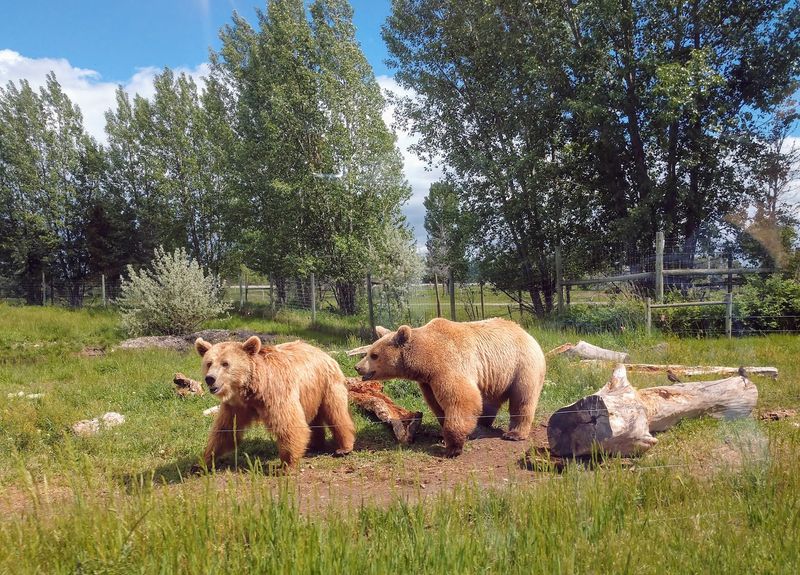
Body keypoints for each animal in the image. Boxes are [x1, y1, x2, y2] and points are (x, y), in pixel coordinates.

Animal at [195, 335, 355, 469]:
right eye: (209, 363)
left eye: (225, 364)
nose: (210, 379)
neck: (251, 390)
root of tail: (322, 352)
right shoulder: (236, 406)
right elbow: (225, 430)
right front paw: (203, 461)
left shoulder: (276, 394)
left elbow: (288, 425)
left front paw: (287, 464)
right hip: (309, 393)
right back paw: (315, 444)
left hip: (327, 385)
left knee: (335, 412)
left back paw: (344, 447)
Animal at [354, 317, 545, 457]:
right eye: (368, 352)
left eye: (374, 355)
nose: (357, 367)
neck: (425, 360)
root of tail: (527, 334)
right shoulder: (428, 381)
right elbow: (437, 404)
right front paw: (444, 434)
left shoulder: (448, 365)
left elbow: (460, 399)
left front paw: (453, 447)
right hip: (496, 374)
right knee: (489, 401)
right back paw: (480, 426)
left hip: (521, 366)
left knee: (522, 399)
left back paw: (514, 433)